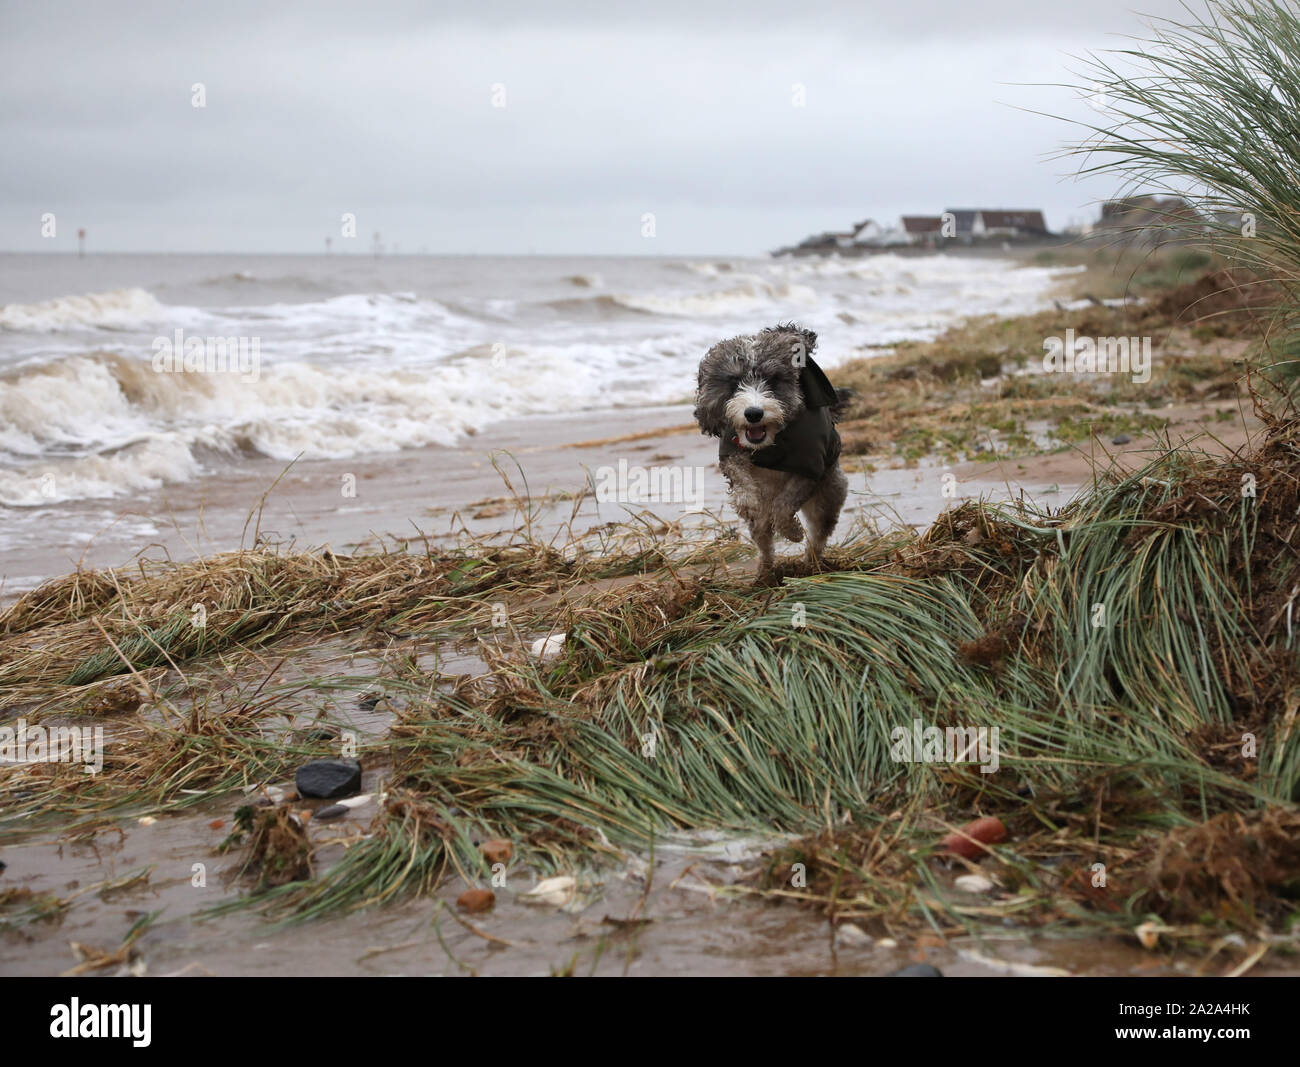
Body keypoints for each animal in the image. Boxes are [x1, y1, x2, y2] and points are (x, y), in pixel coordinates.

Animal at [696, 322, 847, 582]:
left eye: (773, 380)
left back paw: (811, 565)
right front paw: (747, 503)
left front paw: (792, 531)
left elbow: (785, 504)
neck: (772, 442)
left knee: (818, 533)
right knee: (764, 538)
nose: (754, 413)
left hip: (828, 496)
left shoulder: (810, 466)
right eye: (734, 383)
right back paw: (765, 573)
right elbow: (741, 481)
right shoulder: (732, 452)